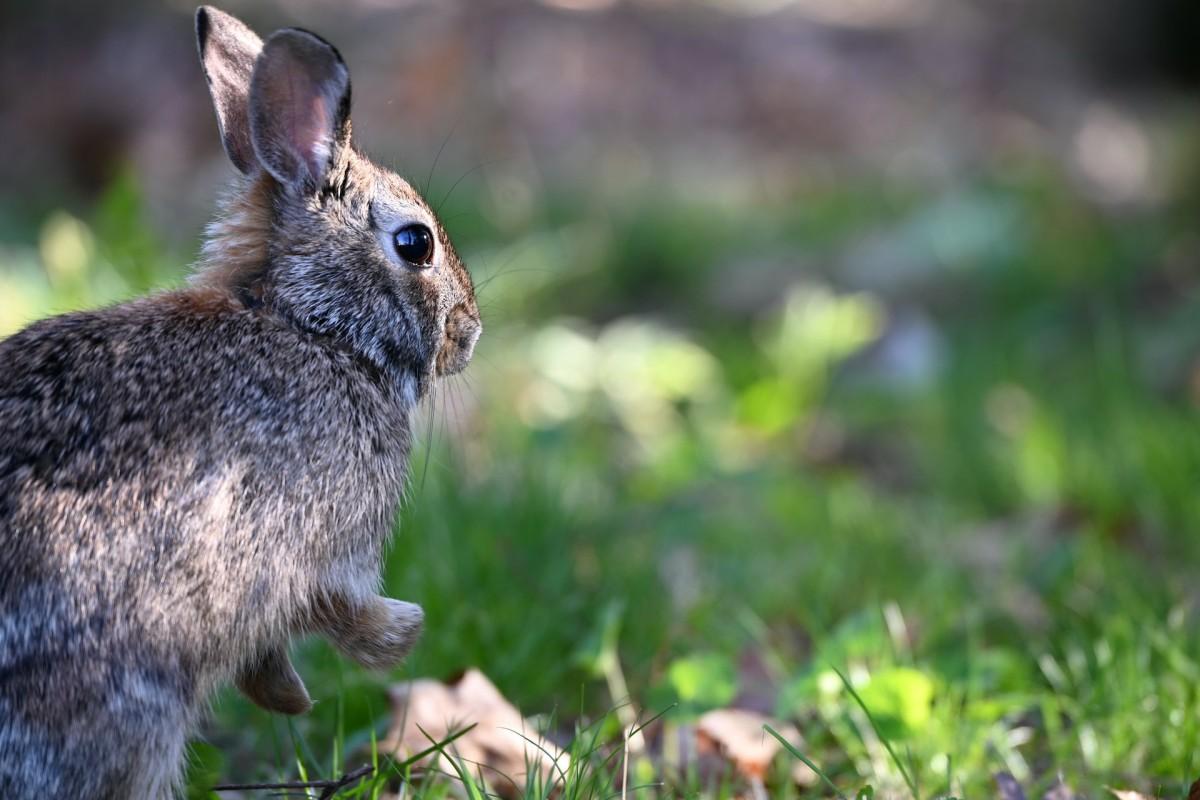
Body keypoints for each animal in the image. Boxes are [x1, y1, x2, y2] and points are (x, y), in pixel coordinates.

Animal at [1, 7, 477, 800]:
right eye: (416, 244)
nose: (469, 335)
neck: (313, 327)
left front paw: (290, 694)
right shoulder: (324, 547)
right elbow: (339, 610)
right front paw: (401, 635)